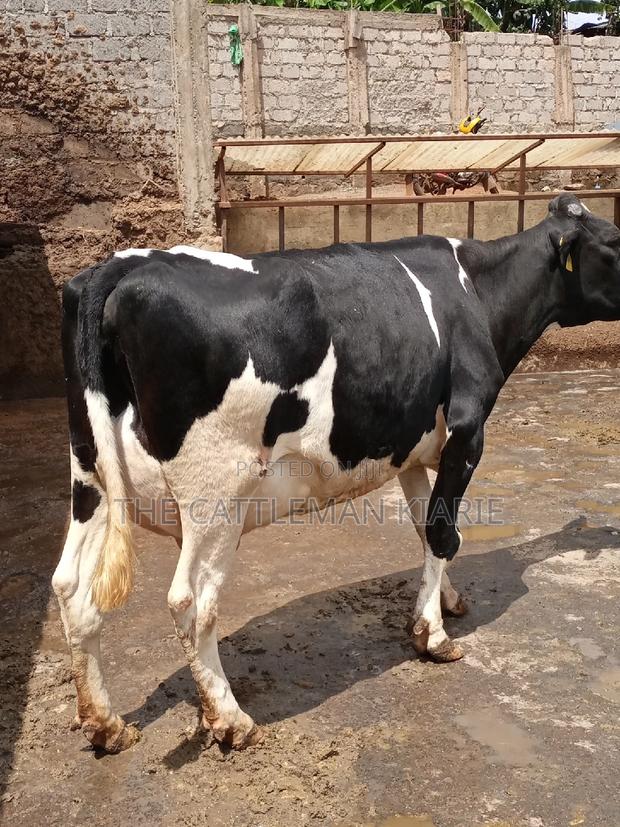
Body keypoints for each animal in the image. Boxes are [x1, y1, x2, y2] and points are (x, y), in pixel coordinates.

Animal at [52, 195, 620, 753]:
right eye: (615, 242)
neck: (478, 292)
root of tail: (120, 266)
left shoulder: (410, 444)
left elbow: (425, 526)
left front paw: (446, 600)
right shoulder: (467, 430)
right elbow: (443, 532)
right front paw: (433, 636)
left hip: (91, 475)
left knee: (71, 586)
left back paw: (105, 722)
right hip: (215, 492)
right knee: (191, 600)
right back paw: (231, 719)